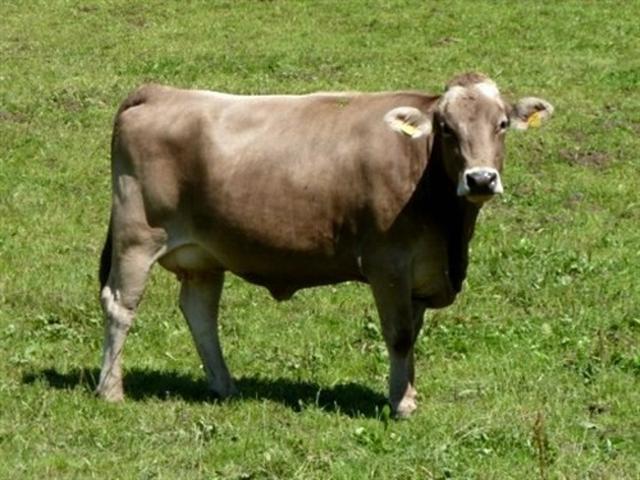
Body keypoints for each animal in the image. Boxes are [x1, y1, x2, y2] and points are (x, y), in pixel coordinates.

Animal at [96, 72, 553, 417]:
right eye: (446, 128)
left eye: (502, 124)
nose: (480, 179)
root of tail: (159, 91)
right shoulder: (387, 263)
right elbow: (399, 334)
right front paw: (401, 405)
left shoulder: (421, 274)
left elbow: (413, 334)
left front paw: (407, 392)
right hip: (137, 236)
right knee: (120, 305)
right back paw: (110, 390)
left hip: (204, 254)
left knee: (200, 312)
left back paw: (225, 386)